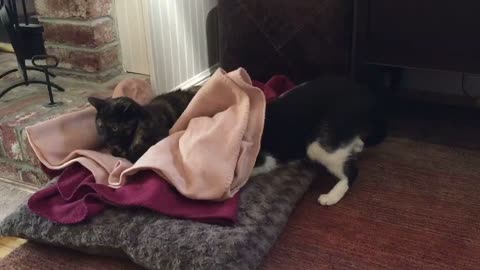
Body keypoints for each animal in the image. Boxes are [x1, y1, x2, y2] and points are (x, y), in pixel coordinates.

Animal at [251, 76, 386, 207]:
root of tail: (364, 92)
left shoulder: (264, 159)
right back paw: (356, 145)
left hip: (320, 144)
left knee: (352, 172)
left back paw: (331, 196)